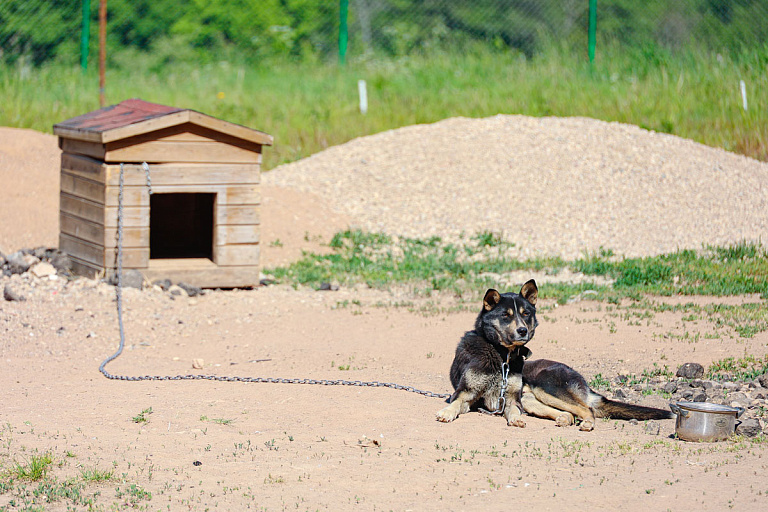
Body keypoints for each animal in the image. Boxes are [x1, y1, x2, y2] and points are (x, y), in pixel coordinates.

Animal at [438, 280, 540, 428]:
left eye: (526, 313)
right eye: (505, 315)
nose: (522, 330)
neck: (501, 353)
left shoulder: (512, 397)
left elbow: (515, 409)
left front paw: (517, 418)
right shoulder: (466, 391)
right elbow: (456, 402)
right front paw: (447, 412)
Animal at [520, 358, 676, 430]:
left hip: (545, 388)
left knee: (585, 409)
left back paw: (588, 423)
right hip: (528, 398)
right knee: (571, 415)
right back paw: (564, 419)